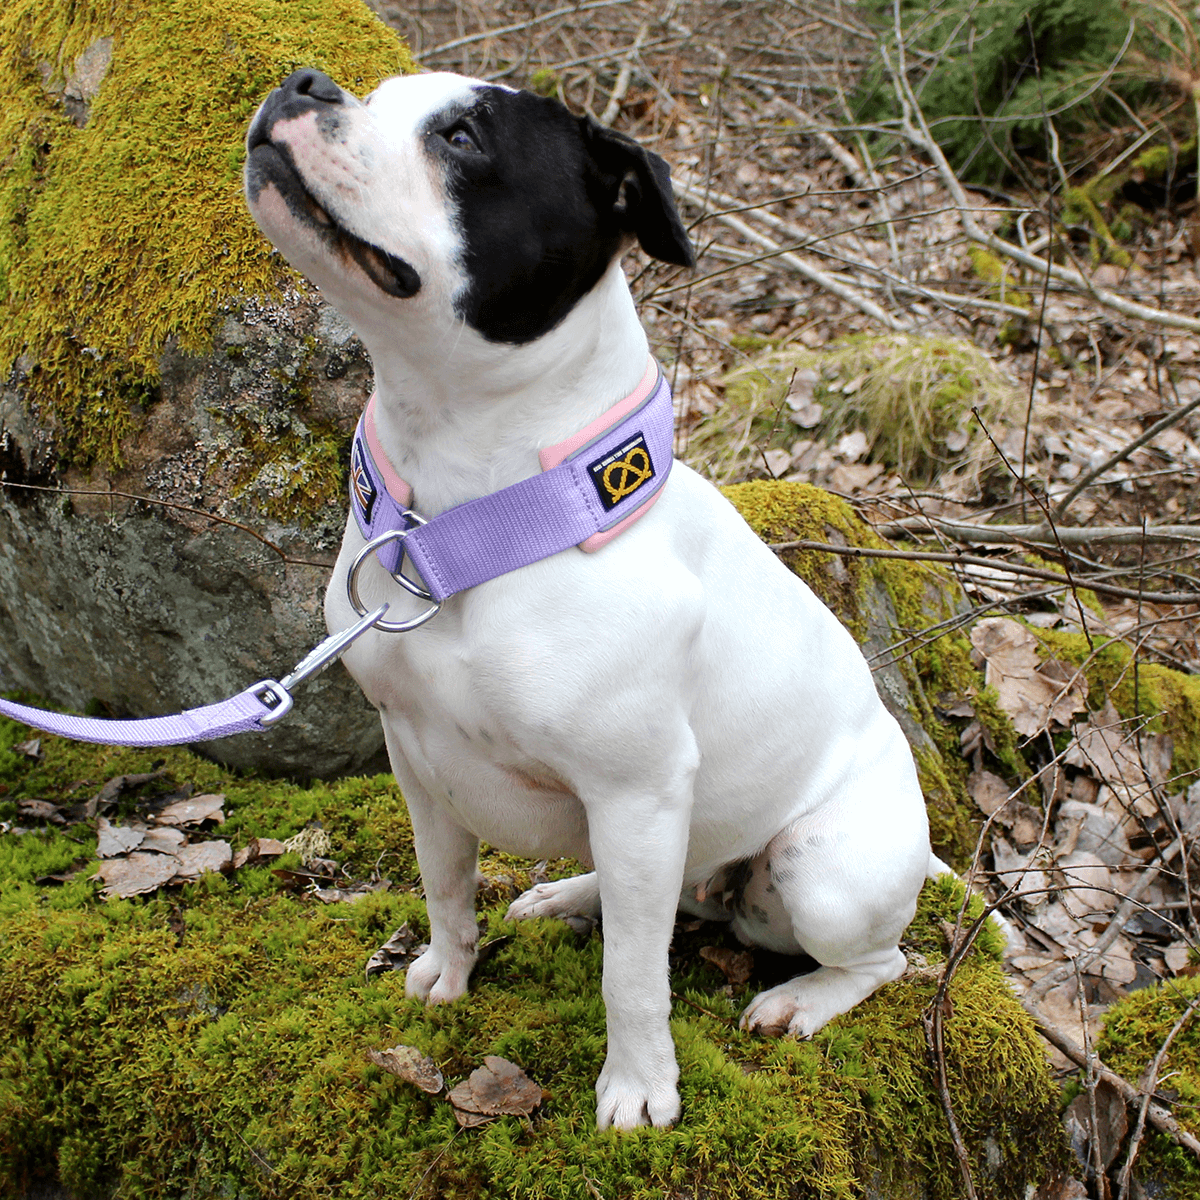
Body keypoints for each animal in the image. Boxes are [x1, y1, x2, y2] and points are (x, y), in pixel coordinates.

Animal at [248, 68, 931, 1132]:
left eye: (462, 136)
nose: (302, 80)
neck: (472, 519)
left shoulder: (638, 791)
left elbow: (632, 979)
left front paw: (639, 1087)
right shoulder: (414, 757)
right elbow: (445, 883)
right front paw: (449, 972)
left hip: (824, 872)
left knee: (878, 958)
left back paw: (800, 1001)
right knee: (658, 899)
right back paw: (566, 893)